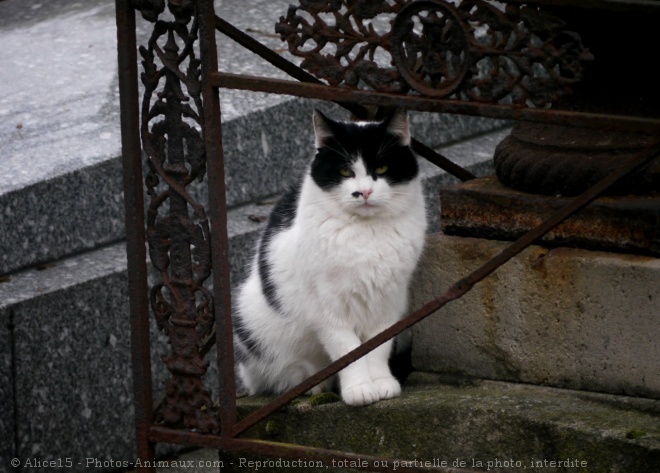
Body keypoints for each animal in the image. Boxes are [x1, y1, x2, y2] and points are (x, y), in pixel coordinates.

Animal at [235, 109, 426, 404]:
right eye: (345, 171)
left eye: (382, 169)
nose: (364, 192)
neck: (366, 233)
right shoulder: (328, 308)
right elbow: (348, 351)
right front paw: (359, 389)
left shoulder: (389, 302)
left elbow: (378, 346)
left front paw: (382, 382)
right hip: (251, 318)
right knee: (280, 372)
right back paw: (312, 384)